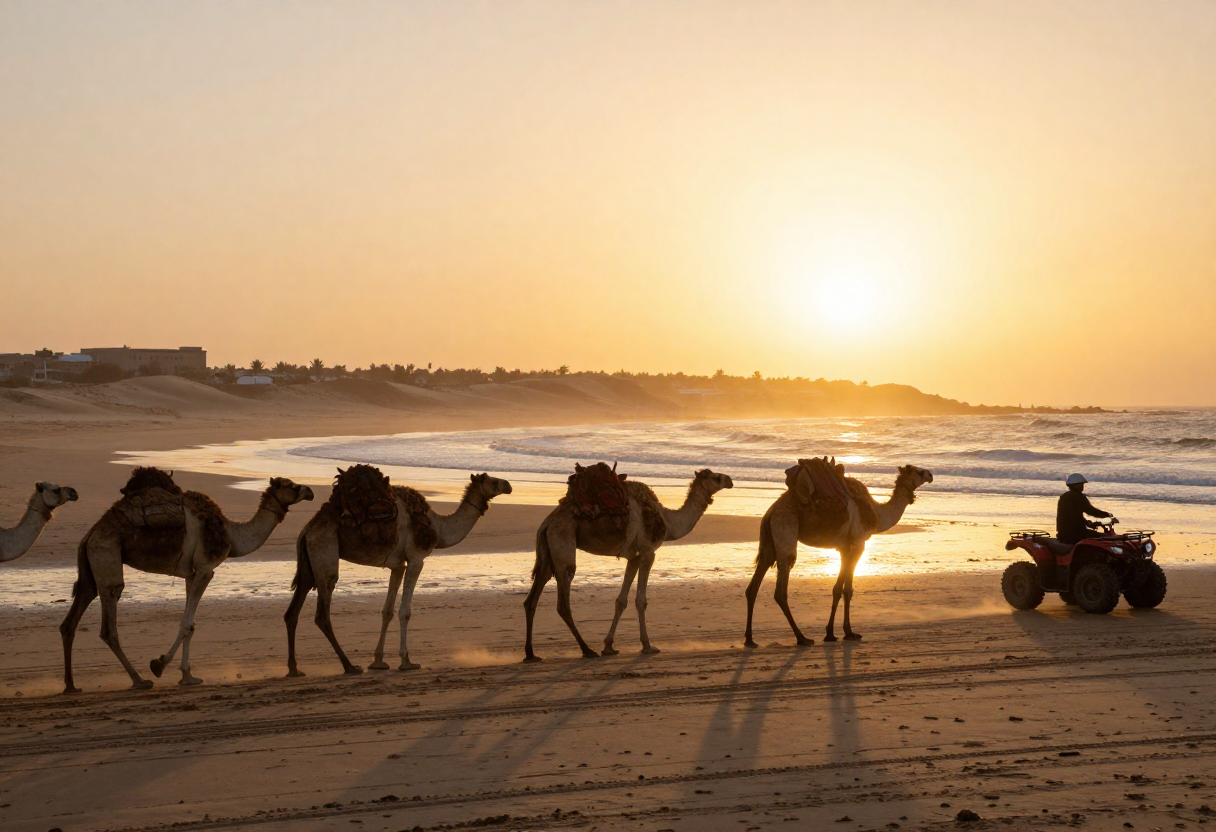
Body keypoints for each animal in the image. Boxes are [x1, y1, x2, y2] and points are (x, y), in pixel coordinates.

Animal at [60, 470, 314, 693]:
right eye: (291, 485)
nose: (310, 491)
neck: (231, 534)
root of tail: (89, 535)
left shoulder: (191, 574)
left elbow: (188, 624)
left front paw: (186, 675)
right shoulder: (205, 570)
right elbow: (187, 624)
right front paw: (159, 665)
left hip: (92, 566)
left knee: (74, 614)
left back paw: (71, 685)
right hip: (107, 554)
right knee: (110, 618)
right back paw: (139, 680)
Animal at [285, 471, 513, 676]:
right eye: (493, 480)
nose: (509, 484)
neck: (437, 526)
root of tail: (307, 530)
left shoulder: (397, 566)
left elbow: (387, 611)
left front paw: (378, 661)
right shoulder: (416, 559)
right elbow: (405, 611)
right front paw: (407, 661)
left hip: (308, 563)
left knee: (292, 611)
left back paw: (294, 669)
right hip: (326, 552)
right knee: (322, 612)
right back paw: (349, 666)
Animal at [524, 468, 734, 662]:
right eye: (717, 477)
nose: (730, 480)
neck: (667, 521)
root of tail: (548, 522)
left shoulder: (634, 558)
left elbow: (621, 601)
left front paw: (609, 646)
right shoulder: (648, 552)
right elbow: (641, 600)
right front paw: (647, 645)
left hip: (548, 550)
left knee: (532, 597)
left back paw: (531, 654)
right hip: (563, 541)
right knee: (563, 601)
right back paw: (587, 650)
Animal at [744, 462, 933, 647]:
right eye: (918, 471)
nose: (930, 475)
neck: (877, 514)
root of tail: (771, 512)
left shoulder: (844, 548)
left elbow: (842, 590)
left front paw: (841, 633)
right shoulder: (859, 544)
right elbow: (844, 589)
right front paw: (838, 633)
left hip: (770, 542)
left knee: (755, 583)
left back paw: (750, 639)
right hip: (785, 530)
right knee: (781, 589)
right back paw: (802, 638)